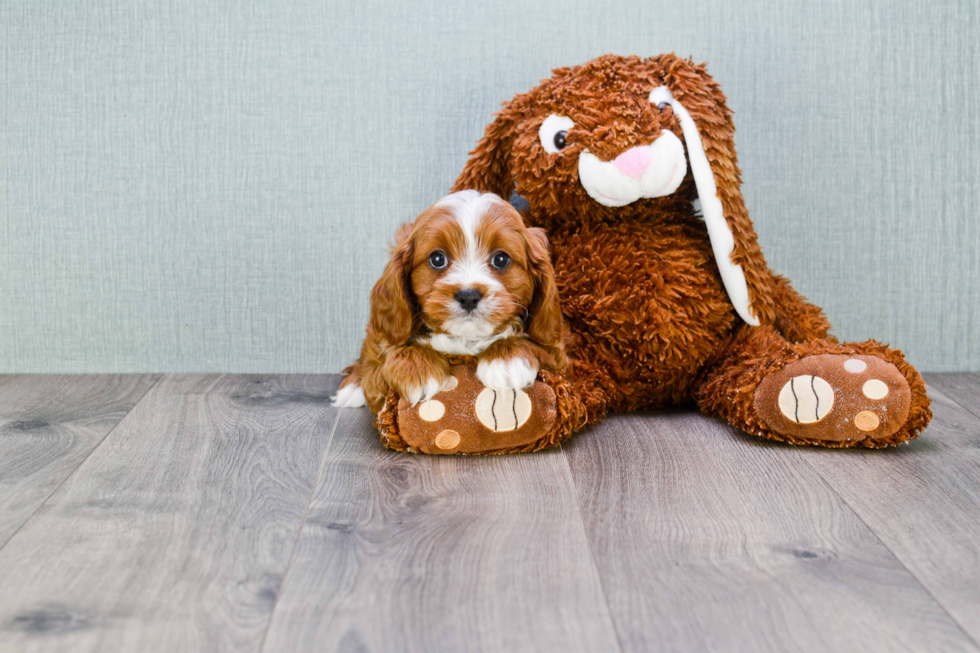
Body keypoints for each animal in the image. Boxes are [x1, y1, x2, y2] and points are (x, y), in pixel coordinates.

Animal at [334, 190, 568, 412]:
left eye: (501, 259)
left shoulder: (560, 356)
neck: (465, 339)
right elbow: (381, 357)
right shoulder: (386, 334)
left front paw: (506, 360)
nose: (469, 296)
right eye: (437, 259)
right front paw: (417, 369)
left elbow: (542, 347)